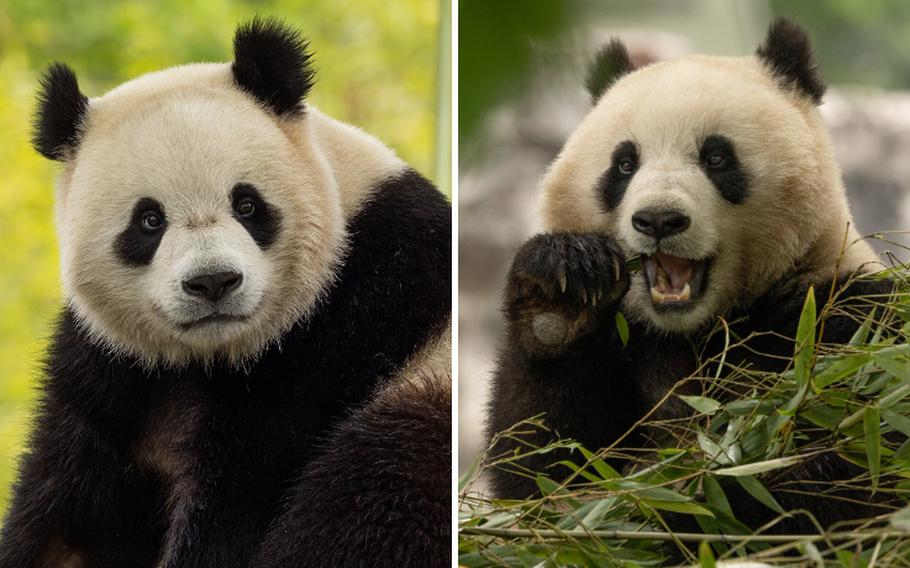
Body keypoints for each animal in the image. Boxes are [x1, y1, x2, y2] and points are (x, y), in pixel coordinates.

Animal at [0, 15, 452, 564]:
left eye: (247, 204)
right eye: (149, 220)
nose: (213, 281)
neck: (210, 357)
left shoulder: (345, 328)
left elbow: (237, 503)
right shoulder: (112, 367)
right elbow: (64, 512)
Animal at [488, 17, 900, 532]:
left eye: (716, 157)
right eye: (625, 163)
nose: (659, 220)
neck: (694, 328)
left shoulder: (844, 320)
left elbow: (848, 463)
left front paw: (687, 496)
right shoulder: (628, 342)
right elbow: (544, 469)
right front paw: (561, 291)